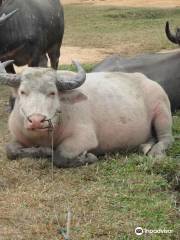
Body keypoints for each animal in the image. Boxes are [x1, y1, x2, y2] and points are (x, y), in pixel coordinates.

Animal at [0, 61, 173, 168]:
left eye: (52, 93)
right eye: (23, 92)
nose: (36, 121)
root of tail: (148, 80)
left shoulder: (84, 138)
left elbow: (60, 156)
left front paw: (87, 157)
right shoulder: (17, 136)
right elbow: (10, 150)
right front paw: (43, 151)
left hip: (162, 112)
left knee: (167, 138)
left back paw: (156, 152)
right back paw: (144, 146)